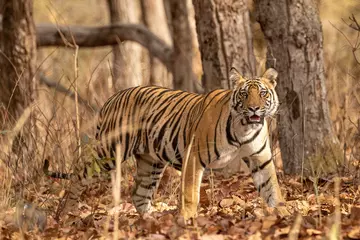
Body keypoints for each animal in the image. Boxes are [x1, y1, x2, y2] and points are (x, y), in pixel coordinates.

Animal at [45, 67, 288, 219]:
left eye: (263, 93)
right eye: (245, 94)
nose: (254, 108)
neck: (245, 128)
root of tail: (111, 98)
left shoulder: (261, 158)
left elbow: (272, 188)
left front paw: (285, 213)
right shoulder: (194, 157)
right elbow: (190, 194)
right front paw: (187, 220)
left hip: (150, 162)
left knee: (139, 194)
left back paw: (150, 221)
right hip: (109, 151)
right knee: (79, 174)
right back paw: (64, 214)